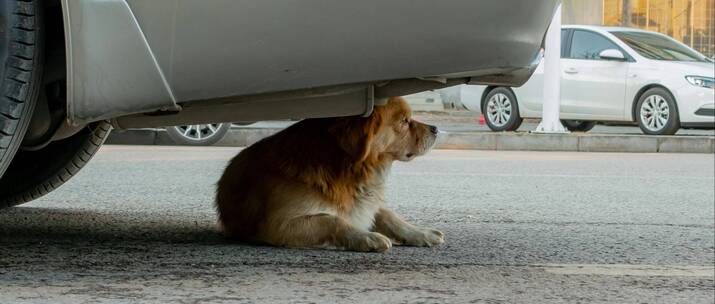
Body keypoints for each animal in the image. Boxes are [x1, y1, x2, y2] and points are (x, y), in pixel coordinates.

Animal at [215, 97, 444, 252]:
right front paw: (365, 237)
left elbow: (389, 215)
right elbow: (332, 220)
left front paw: (419, 232)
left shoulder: (364, 204)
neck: (346, 168)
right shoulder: (281, 224)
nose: (435, 128)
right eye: (404, 121)